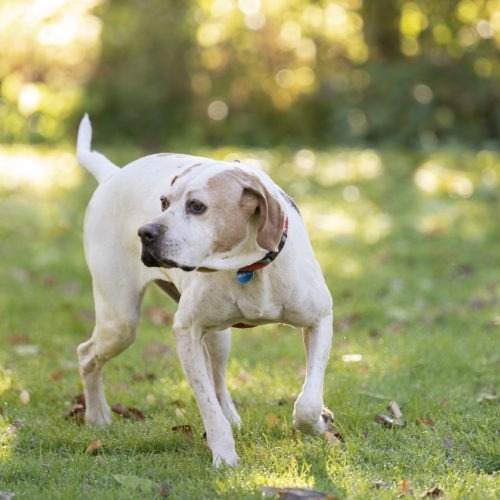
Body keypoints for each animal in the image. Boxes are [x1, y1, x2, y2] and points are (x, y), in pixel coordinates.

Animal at [76, 113, 334, 464]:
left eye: (197, 206)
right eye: (163, 202)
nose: (145, 232)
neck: (247, 268)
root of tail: (111, 175)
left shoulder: (320, 319)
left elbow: (308, 403)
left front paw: (320, 421)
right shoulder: (186, 332)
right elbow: (208, 407)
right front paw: (224, 455)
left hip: (218, 336)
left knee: (219, 379)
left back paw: (233, 415)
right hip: (121, 322)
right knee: (87, 354)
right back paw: (97, 416)